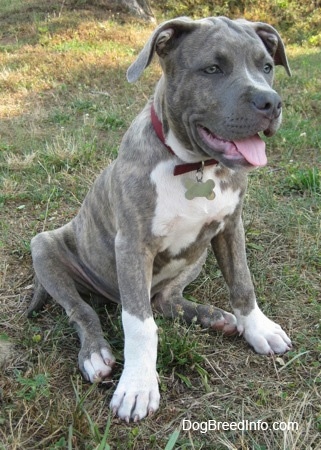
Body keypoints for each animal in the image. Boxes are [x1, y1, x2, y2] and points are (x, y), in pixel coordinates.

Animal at [28, 14, 292, 422]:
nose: (271, 102)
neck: (193, 165)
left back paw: (212, 316)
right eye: (212, 69)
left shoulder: (231, 226)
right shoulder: (133, 246)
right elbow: (140, 325)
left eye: (266, 67)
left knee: (166, 299)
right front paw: (137, 386)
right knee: (81, 310)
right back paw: (95, 354)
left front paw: (258, 327)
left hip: (197, 255)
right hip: (44, 247)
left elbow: (242, 283)